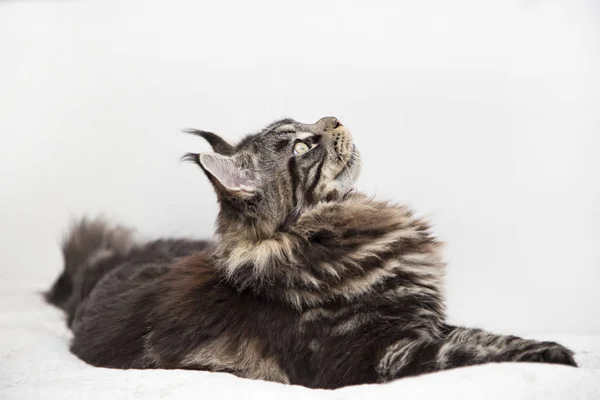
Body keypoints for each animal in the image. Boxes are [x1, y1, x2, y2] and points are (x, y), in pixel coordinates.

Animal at [47, 117, 576, 390]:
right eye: (303, 144)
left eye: (308, 124)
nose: (333, 118)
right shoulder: (382, 355)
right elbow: (473, 348)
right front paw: (558, 355)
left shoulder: (421, 320)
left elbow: (480, 334)